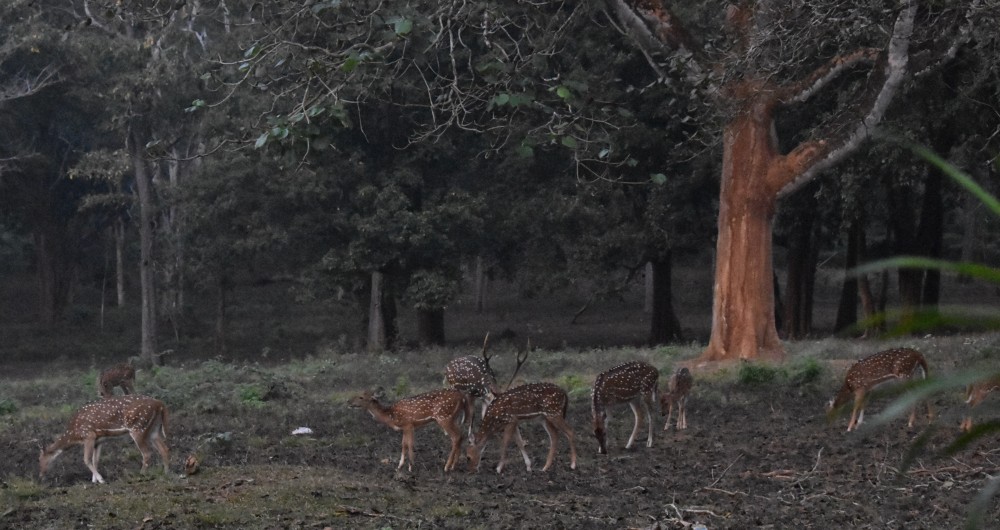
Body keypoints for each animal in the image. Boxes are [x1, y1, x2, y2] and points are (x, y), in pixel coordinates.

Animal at [39, 392, 170, 482]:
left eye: (39, 459)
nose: (40, 475)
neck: (74, 434)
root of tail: (160, 404)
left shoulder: (88, 435)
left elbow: (86, 459)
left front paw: (100, 479)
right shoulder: (99, 440)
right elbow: (95, 460)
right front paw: (94, 480)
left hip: (138, 427)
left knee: (147, 453)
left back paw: (141, 474)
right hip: (154, 429)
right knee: (164, 449)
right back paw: (166, 472)